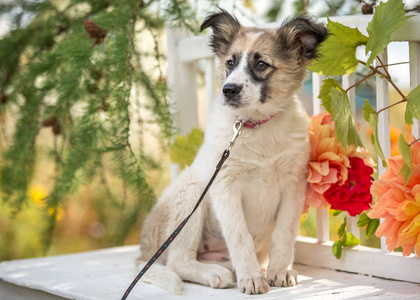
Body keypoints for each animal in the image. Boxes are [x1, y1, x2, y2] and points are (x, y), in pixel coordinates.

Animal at [138, 9, 328, 296]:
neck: (256, 126)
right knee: (177, 261)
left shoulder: (293, 185)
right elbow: (240, 236)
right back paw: (214, 273)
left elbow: (284, 233)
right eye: (230, 63)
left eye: (261, 64)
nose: (228, 90)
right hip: (192, 194)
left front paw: (279, 270)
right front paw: (251, 277)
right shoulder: (225, 186)